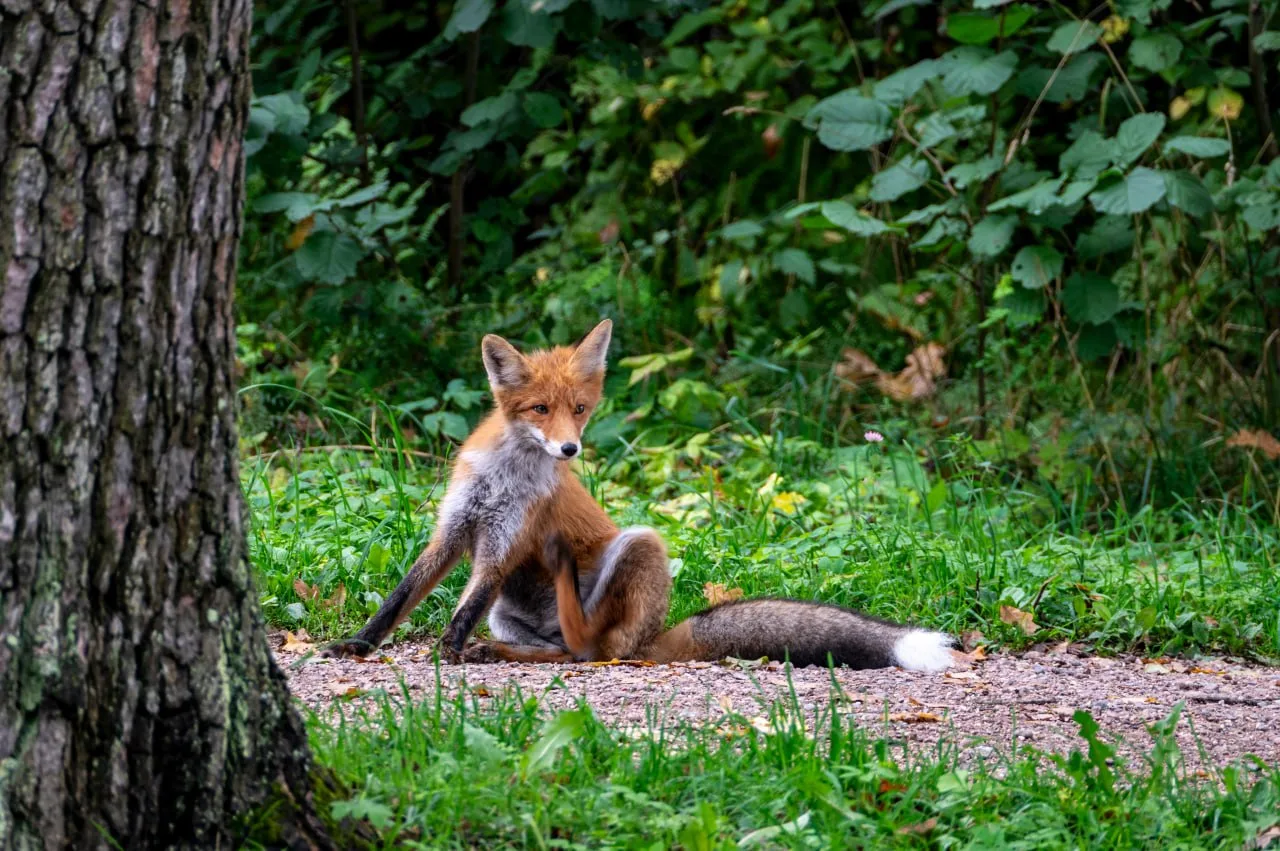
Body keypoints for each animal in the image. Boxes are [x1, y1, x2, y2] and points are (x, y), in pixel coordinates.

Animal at [324, 319, 960, 672]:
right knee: (563, 652)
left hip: (639, 545)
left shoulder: (504, 542)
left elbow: (463, 607)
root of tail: (657, 637)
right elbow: (399, 598)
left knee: (594, 650)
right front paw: (358, 645)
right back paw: (501, 653)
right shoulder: (455, 529)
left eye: (580, 409)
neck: (506, 476)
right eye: (540, 410)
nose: (569, 450)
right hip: (510, 616)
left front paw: (447, 651)